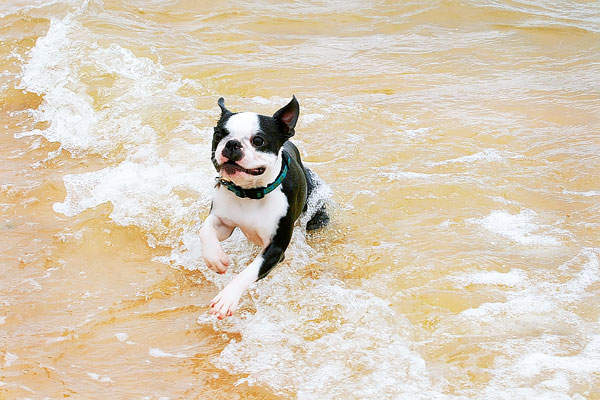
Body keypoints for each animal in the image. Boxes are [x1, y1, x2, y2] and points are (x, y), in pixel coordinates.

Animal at [202, 96, 330, 318]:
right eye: (218, 135)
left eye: (258, 141)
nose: (232, 144)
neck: (250, 193)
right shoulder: (223, 222)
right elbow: (205, 229)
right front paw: (215, 258)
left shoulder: (275, 249)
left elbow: (249, 271)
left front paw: (227, 297)